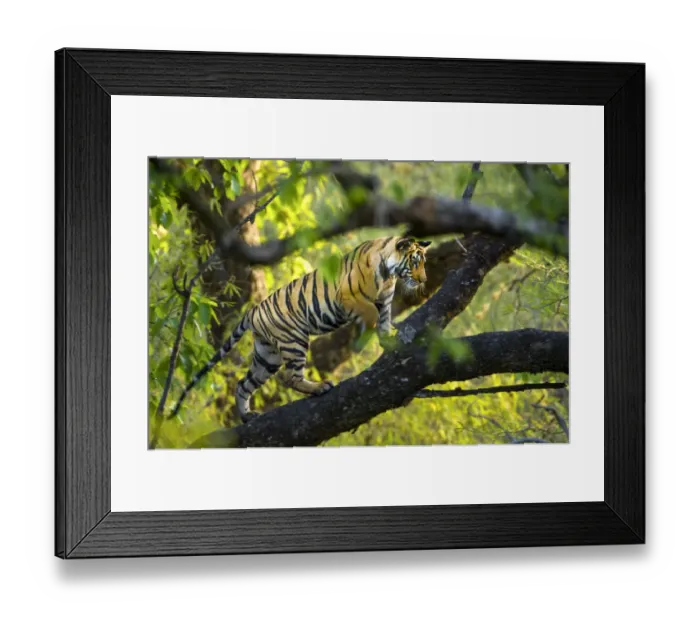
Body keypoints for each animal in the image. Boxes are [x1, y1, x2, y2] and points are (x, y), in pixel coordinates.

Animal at [169, 236, 432, 423]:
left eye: (424, 264)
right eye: (414, 262)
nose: (424, 280)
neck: (390, 275)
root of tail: (253, 311)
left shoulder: (385, 301)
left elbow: (385, 321)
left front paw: (389, 340)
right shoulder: (348, 296)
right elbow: (372, 315)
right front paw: (367, 336)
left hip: (267, 356)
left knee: (244, 384)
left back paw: (246, 416)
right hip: (294, 340)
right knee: (291, 377)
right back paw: (319, 387)